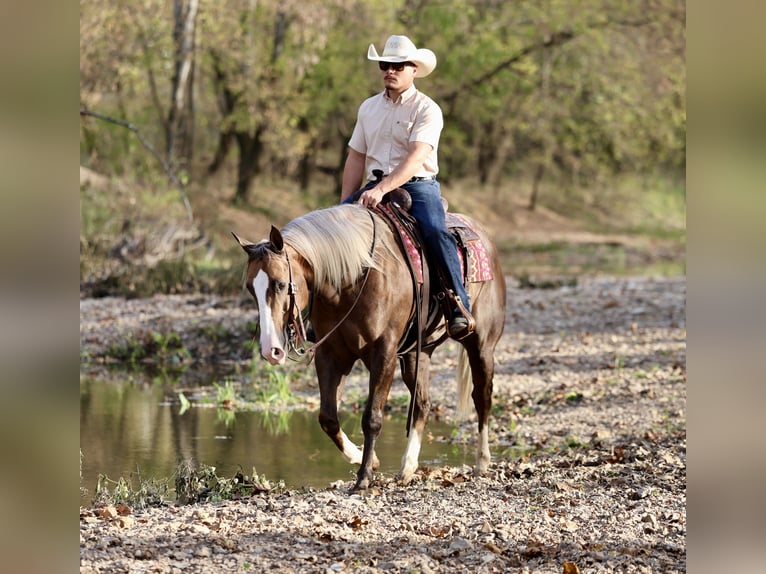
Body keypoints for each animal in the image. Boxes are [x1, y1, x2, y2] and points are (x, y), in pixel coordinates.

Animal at [233, 201, 506, 492]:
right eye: (250, 288)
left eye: (281, 284)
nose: (269, 350)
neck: (351, 278)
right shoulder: (331, 355)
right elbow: (327, 418)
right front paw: (365, 459)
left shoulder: (383, 352)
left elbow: (372, 418)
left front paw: (364, 476)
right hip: (417, 353)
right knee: (422, 403)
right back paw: (407, 468)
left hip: (481, 345)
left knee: (482, 397)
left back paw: (481, 463)